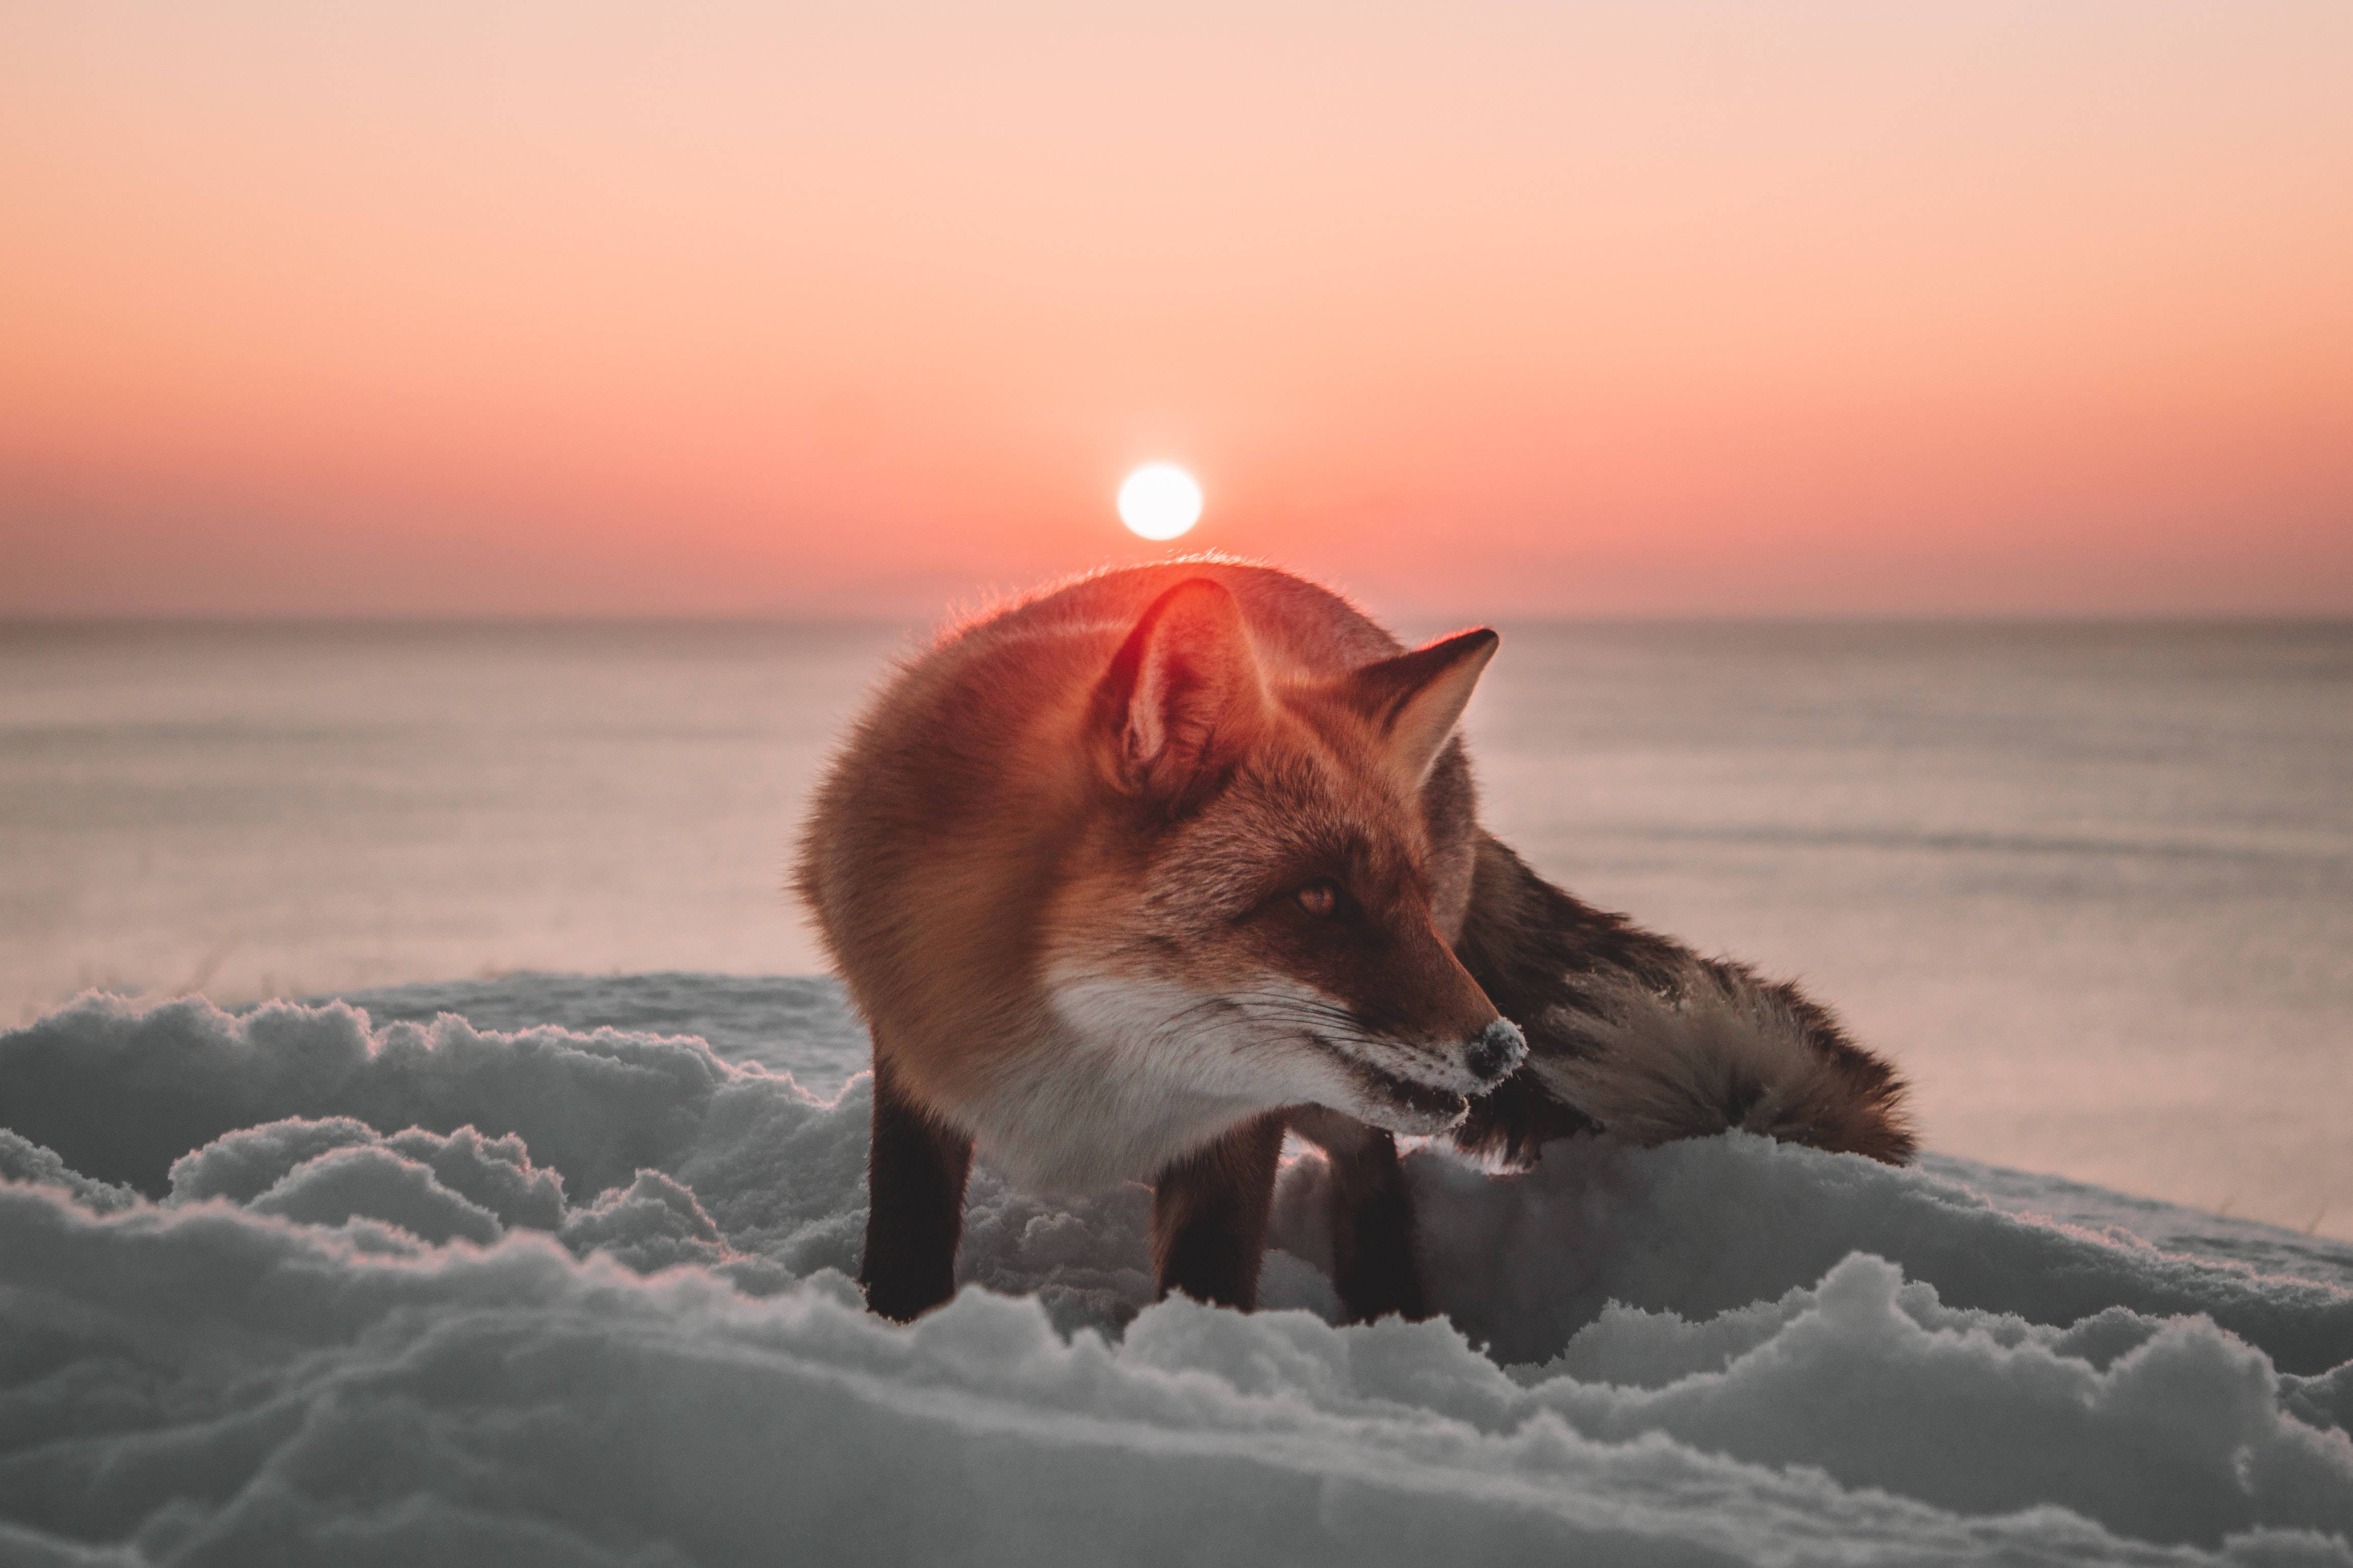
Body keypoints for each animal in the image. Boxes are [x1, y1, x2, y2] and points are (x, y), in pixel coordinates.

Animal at [797, 559, 1913, 1324]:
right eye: (1320, 898)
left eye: (1406, 897)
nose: (1501, 1048)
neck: (1081, 1077)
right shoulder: (917, 1070)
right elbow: (903, 1239)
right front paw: (895, 1335)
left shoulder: (1234, 1126)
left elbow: (1207, 1279)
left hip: (1330, 1104)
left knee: (1374, 1176)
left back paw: (1392, 1321)